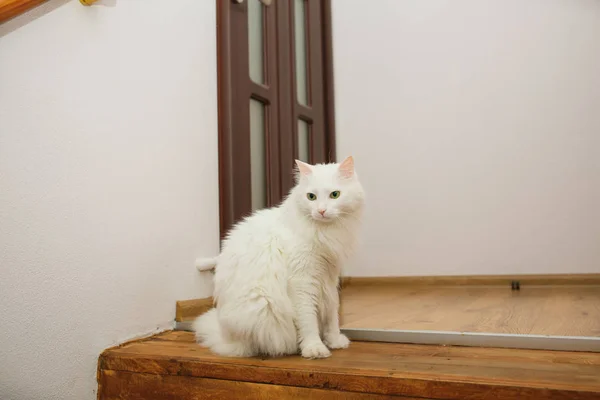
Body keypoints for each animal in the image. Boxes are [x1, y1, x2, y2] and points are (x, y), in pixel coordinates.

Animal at [195, 156, 364, 360]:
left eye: (335, 195)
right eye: (311, 197)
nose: (321, 211)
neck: (325, 233)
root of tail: (226, 337)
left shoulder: (329, 280)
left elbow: (332, 315)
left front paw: (335, 341)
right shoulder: (302, 282)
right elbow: (308, 320)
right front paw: (314, 348)